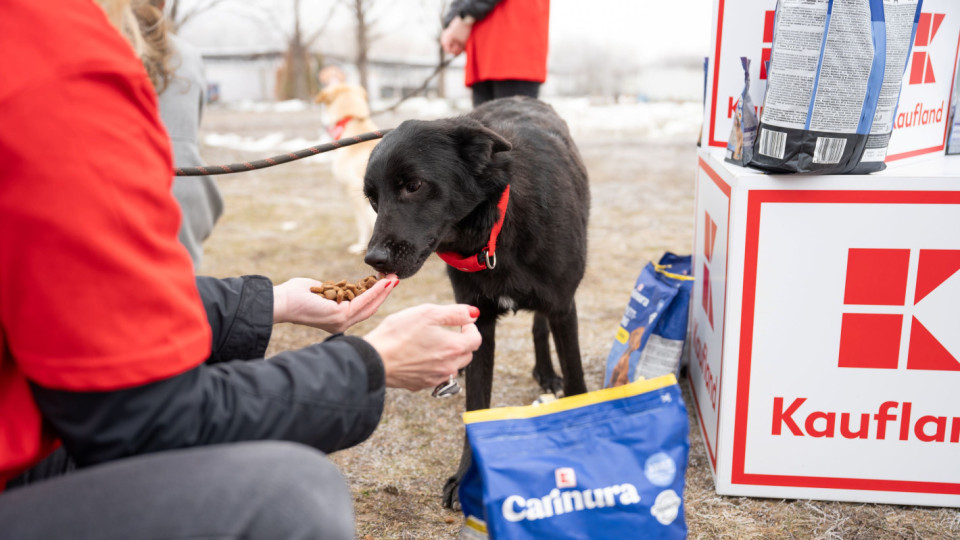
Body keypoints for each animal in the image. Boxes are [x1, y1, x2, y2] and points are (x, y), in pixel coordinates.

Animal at [360, 98, 584, 510]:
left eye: (413, 186)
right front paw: (467, 478)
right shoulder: (478, 320)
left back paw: (546, 372)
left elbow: (577, 383)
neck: (496, 229)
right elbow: (476, 406)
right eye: (373, 199)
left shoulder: (563, 308)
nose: (375, 260)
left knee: (539, 325)